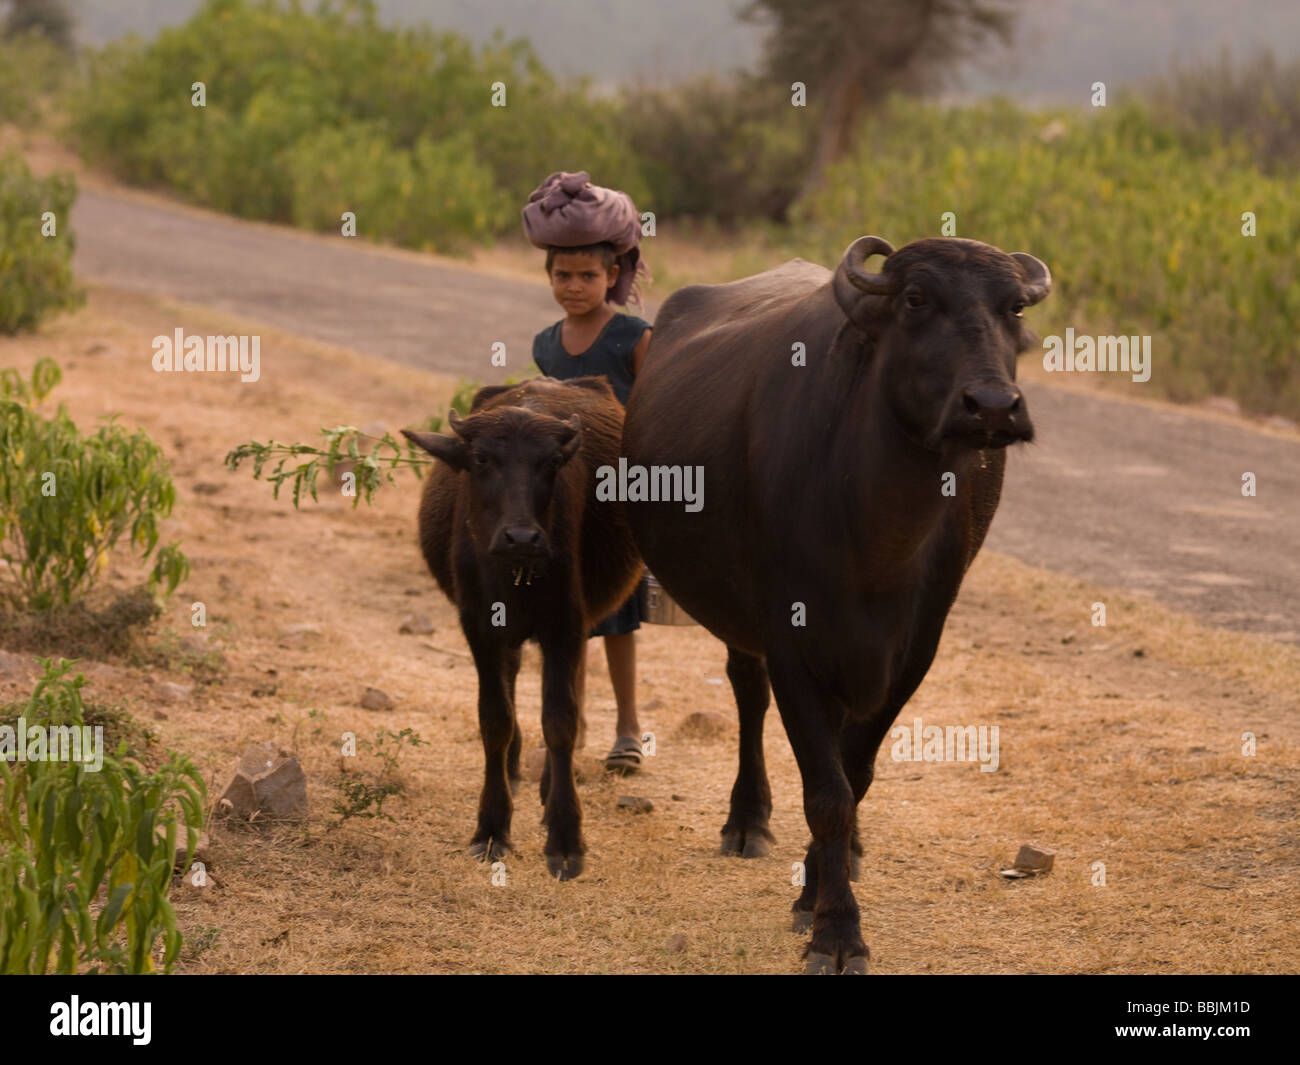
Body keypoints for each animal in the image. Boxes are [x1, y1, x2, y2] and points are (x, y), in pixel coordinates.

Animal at [403, 376, 641, 881]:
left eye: (550, 463)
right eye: (480, 459)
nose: (523, 538)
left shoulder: (566, 626)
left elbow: (560, 721)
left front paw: (565, 837)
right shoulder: (477, 627)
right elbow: (495, 718)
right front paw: (492, 828)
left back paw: (549, 788)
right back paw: (512, 771)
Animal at [621, 236, 1051, 972]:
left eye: (1014, 307)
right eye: (916, 298)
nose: (993, 405)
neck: (876, 534)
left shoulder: (913, 652)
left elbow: (856, 774)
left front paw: (822, 887)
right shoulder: (791, 643)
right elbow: (826, 793)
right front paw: (836, 930)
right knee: (747, 692)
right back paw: (746, 820)